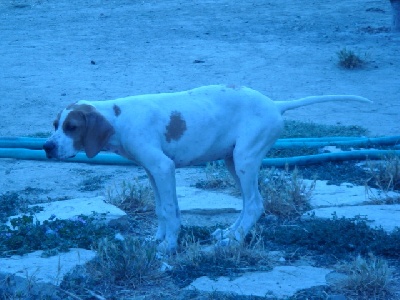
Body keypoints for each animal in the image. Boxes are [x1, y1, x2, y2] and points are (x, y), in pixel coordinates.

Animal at [43, 85, 372, 252]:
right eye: (55, 125)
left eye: (72, 127)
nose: (46, 147)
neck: (118, 117)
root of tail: (275, 104)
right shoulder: (153, 171)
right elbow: (161, 209)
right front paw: (157, 239)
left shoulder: (163, 167)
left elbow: (171, 211)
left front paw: (170, 245)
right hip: (233, 160)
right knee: (248, 205)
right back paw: (229, 233)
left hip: (245, 160)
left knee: (255, 204)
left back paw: (234, 241)